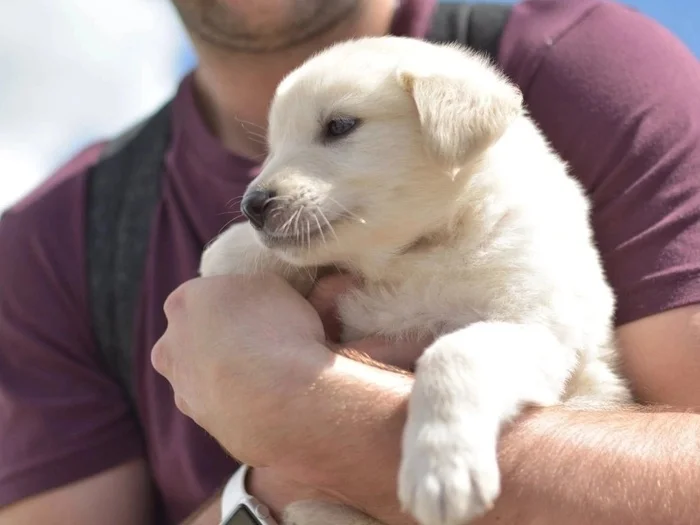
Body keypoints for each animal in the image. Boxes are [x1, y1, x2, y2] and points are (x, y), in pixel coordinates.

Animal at [200, 35, 632, 524]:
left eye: (339, 126)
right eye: (273, 146)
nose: (252, 206)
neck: (417, 252)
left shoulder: (541, 329)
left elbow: (454, 352)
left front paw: (443, 468)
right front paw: (229, 251)